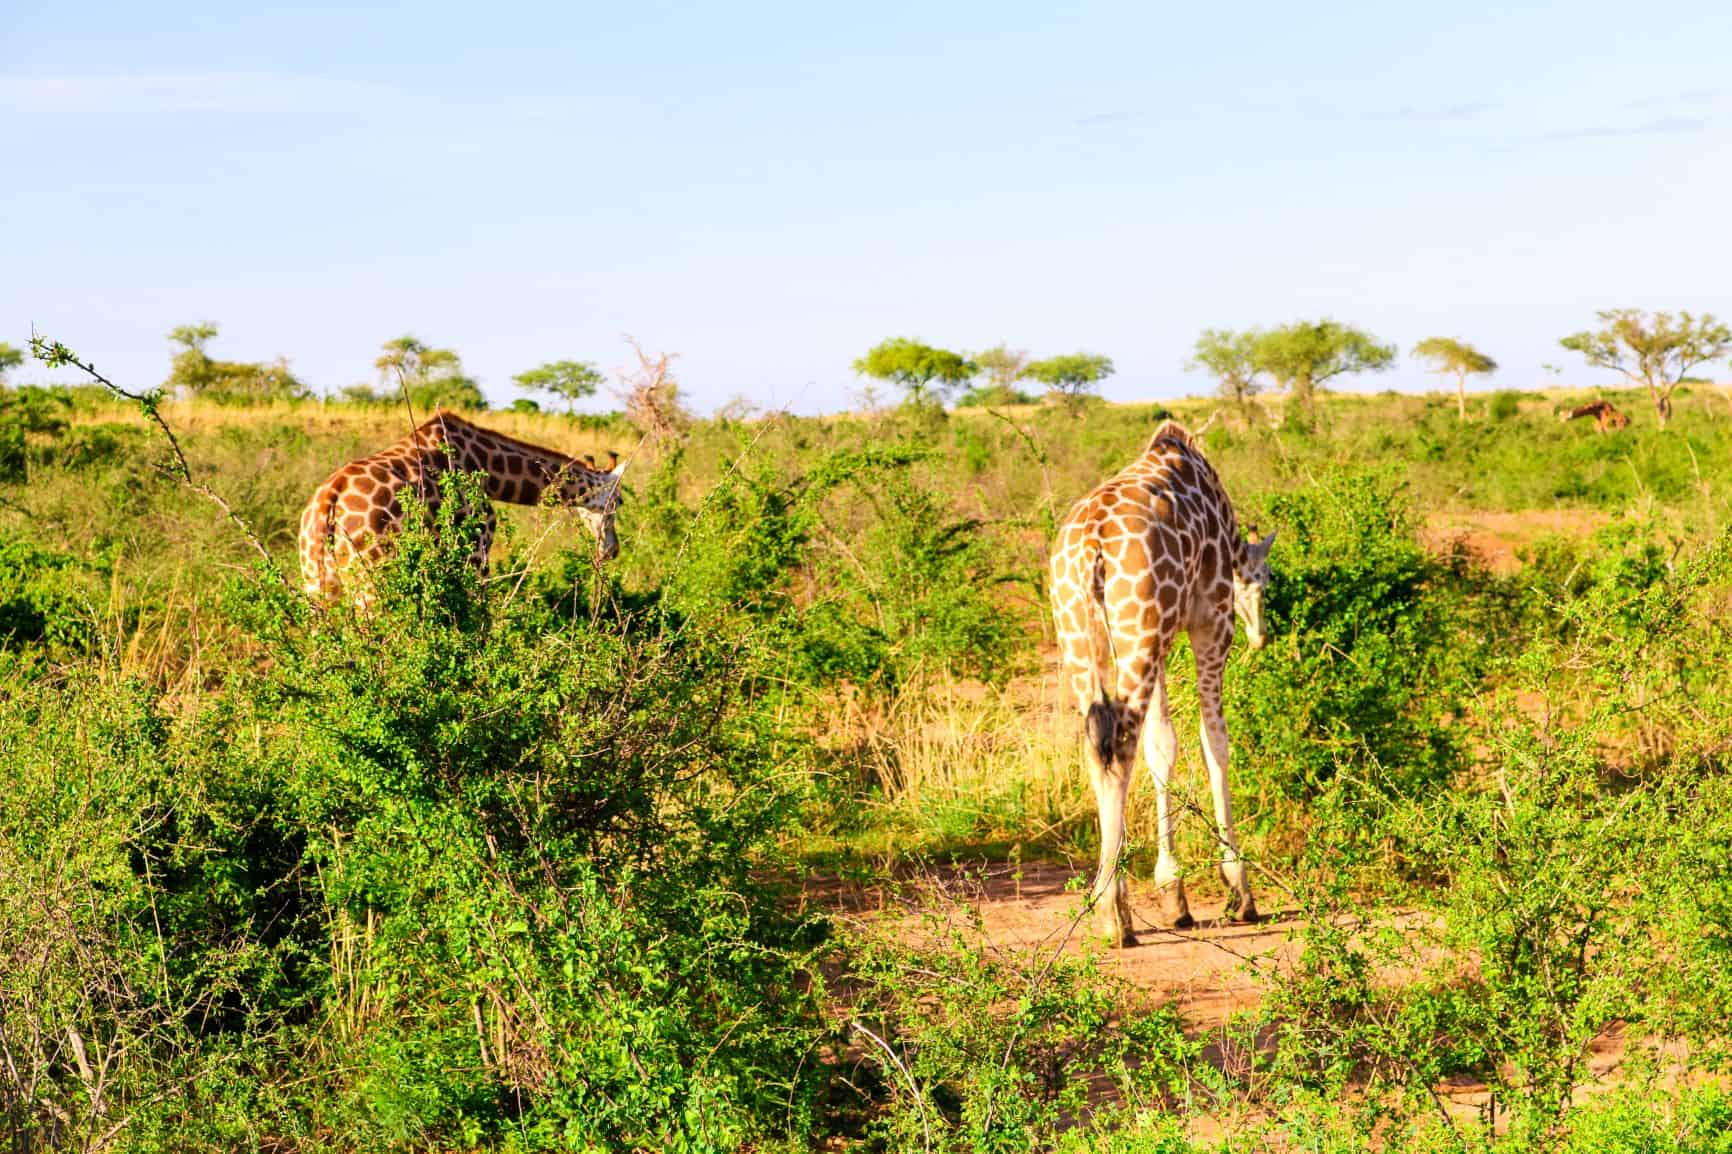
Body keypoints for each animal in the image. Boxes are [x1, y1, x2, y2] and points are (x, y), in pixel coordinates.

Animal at [298, 410, 623, 606]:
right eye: (618, 502)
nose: (612, 550)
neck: (486, 468)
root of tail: (328, 501)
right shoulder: (476, 546)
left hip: (318, 584)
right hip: (372, 578)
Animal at [1048, 420, 1275, 946]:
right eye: (1264, 580)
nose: (1261, 636)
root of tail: (1089, 547)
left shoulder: (1164, 636)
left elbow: (1162, 746)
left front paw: (1174, 891)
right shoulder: (1211, 621)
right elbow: (1214, 743)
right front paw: (1238, 887)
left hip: (1084, 636)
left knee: (1098, 748)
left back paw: (1110, 905)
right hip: (1142, 633)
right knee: (1120, 747)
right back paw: (1113, 914)